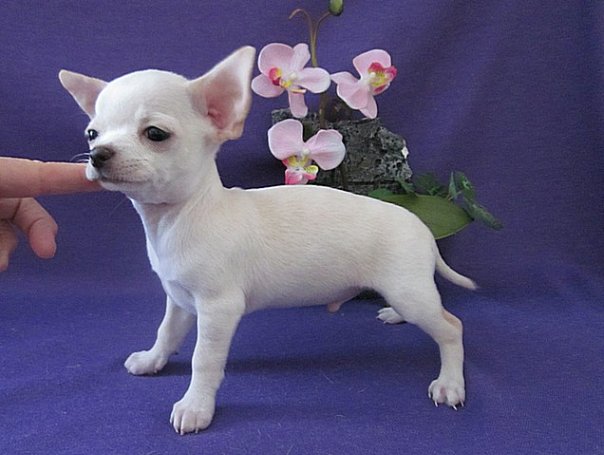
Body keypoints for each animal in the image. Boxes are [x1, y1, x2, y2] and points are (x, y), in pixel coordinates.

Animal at [59, 46, 476, 435]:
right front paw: (152, 360)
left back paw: (450, 383)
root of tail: (422, 227)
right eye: (92, 134)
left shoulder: (218, 309)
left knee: (452, 327)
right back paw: (394, 315)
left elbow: (203, 360)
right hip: (407, 290)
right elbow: (167, 332)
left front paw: (196, 407)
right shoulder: (178, 299)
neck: (178, 218)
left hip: (409, 289)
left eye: (155, 134)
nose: (97, 154)